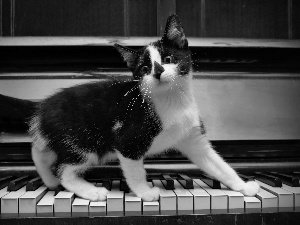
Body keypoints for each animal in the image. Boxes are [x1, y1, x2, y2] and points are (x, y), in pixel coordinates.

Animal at [21, 14, 258, 200]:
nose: (158, 71)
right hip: (85, 143)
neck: (171, 100)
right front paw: (145, 193)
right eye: (144, 68)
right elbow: (136, 171)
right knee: (63, 169)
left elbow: (217, 164)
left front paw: (243, 186)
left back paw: (48, 180)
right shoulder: (128, 141)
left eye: (168, 58)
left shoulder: (193, 138)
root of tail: (43, 107)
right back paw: (89, 191)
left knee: (39, 151)